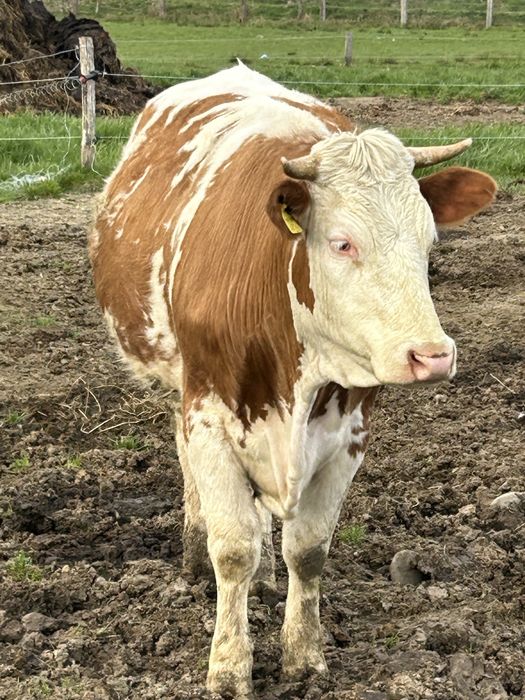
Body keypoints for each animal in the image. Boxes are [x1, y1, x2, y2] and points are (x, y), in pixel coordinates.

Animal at [90, 64, 496, 698]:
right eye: (342, 242)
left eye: (430, 242)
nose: (431, 356)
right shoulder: (208, 414)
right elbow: (233, 550)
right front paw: (228, 667)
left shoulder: (349, 433)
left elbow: (307, 551)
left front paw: (304, 655)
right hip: (179, 382)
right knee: (190, 471)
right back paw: (193, 552)